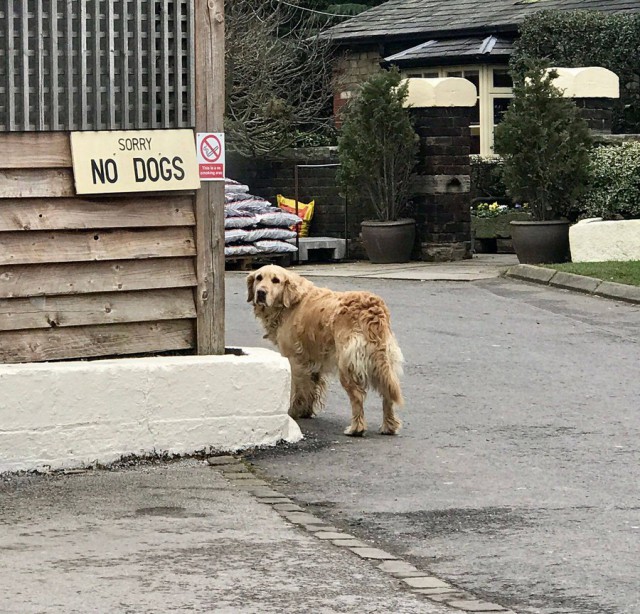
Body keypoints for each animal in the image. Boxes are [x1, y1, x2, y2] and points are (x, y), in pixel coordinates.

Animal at [248, 266, 402, 438]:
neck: (291, 303)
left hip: (348, 366)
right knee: (387, 395)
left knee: (357, 396)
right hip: (382, 363)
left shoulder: (294, 359)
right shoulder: (312, 361)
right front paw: (305, 411)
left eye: (276, 280)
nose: (261, 292)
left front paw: (292, 412)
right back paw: (388, 426)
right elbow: (310, 387)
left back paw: (356, 428)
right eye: (259, 278)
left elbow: (297, 389)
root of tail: (372, 308)